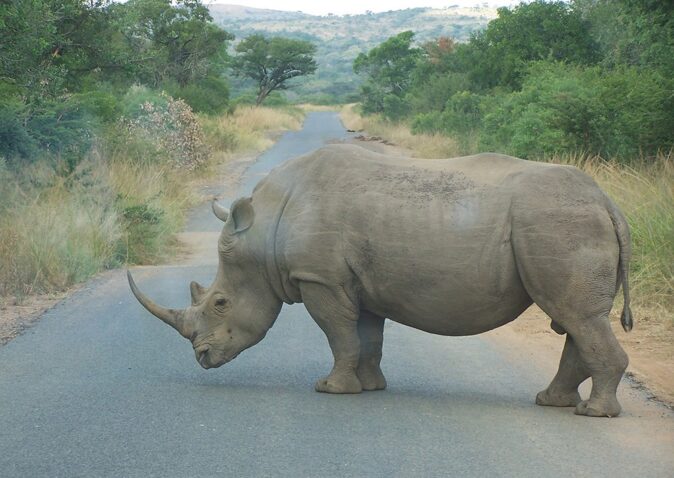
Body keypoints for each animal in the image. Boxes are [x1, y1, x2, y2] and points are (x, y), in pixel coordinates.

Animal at [128, 144, 633, 417]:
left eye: (219, 303)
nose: (203, 358)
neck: (266, 229)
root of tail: (607, 200)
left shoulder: (320, 279)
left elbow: (338, 334)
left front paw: (330, 390)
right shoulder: (356, 282)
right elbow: (367, 337)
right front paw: (370, 388)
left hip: (557, 221)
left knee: (576, 316)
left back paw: (591, 413)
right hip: (565, 220)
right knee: (576, 319)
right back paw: (552, 402)